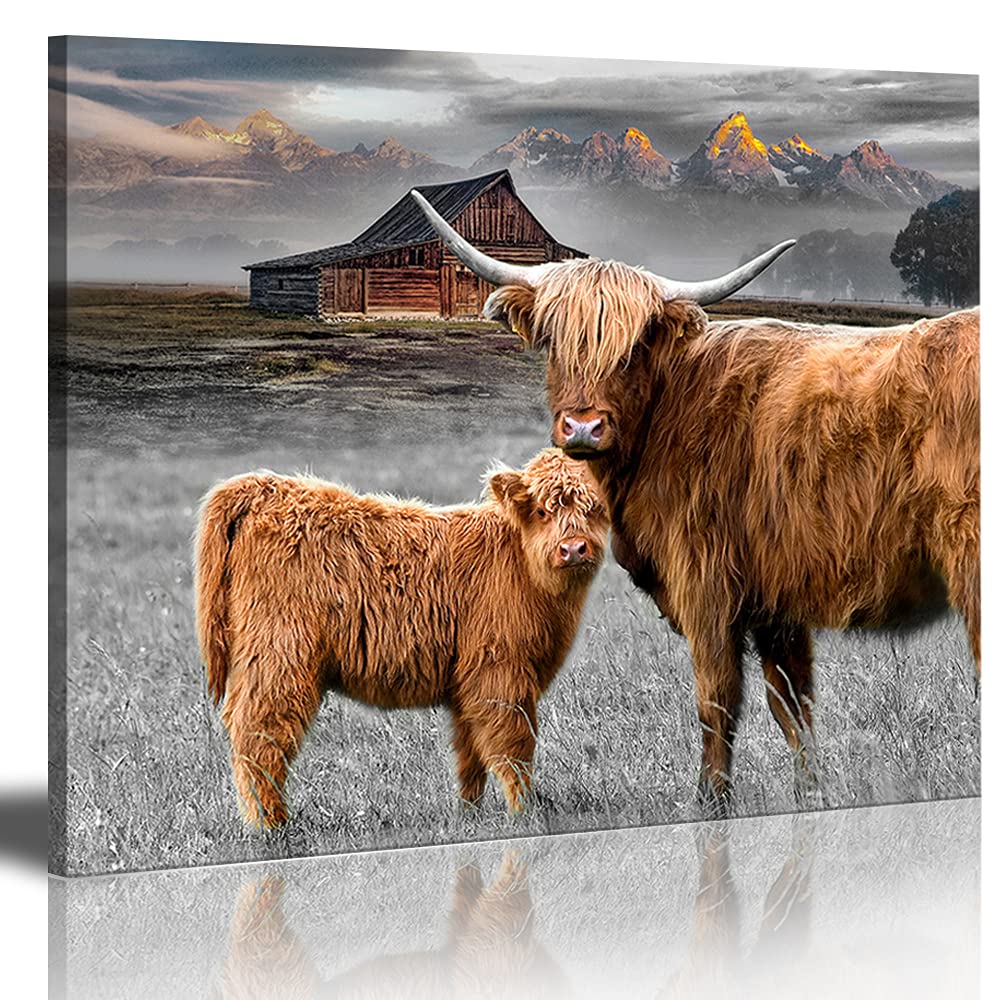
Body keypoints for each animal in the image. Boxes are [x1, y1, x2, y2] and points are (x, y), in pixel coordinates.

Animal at [194, 449, 608, 828]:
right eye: (542, 511)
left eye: (595, 507)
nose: (573, 548)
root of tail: (267, 486)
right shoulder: (499, 672)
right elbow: (514, 746)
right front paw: (524, 814)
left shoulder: (468, 685)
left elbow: (470, 754)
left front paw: (469, 817)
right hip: (281, 654)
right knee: (258, 736)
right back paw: (273, 825)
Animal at [413, 190, 980, 811]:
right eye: (552, 339)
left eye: (635, 346)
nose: (583, 427)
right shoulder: (775, 602)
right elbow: (793, 703)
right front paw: (811, 795)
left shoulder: (706, 583)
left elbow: (717, 699)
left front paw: (712, 801)